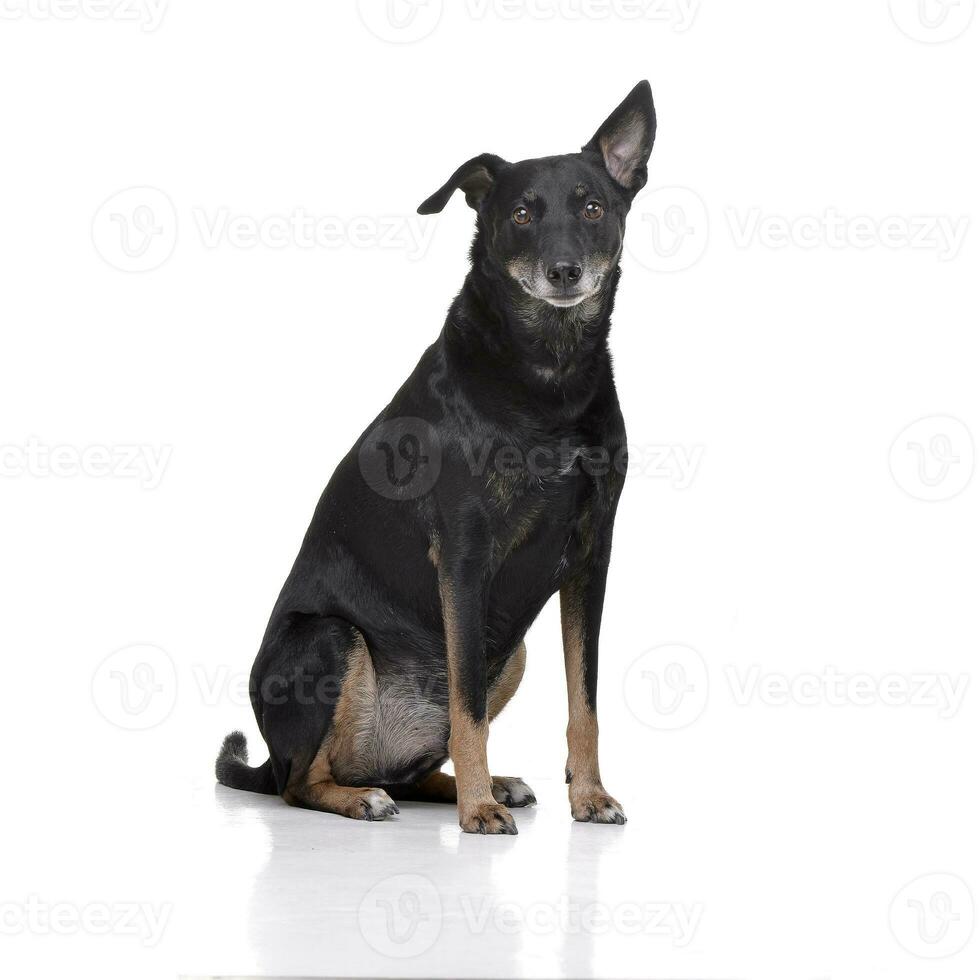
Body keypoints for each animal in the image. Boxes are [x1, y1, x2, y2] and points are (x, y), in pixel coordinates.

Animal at [215, 82, 660, 836]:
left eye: (593, 207)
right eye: (520, 213)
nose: (564, 271)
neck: (548, 378)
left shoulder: (591, 556)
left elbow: (585, 700)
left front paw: (589, 795)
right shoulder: (464, 555)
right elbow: (466, 706)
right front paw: (479, 810)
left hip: (510, 650)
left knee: (412, 764)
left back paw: (474, 784)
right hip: (334, 638)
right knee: (299, 783)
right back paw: (368, 798)